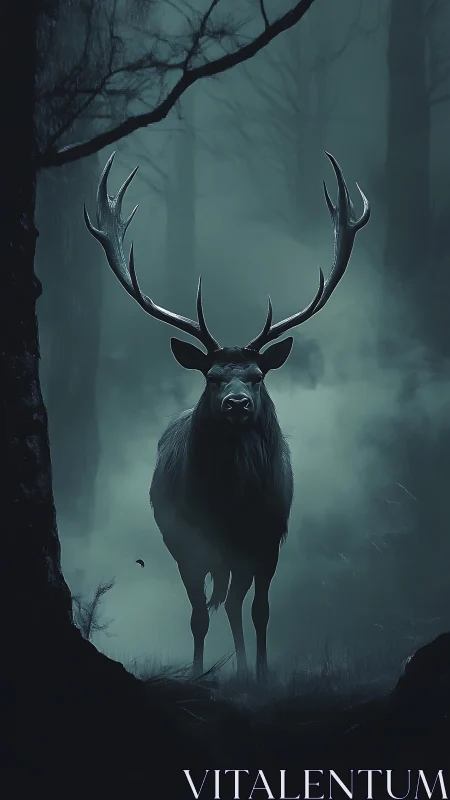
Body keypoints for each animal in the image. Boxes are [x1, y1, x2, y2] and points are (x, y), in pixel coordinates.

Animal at [84, 151, 370, 681]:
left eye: (256, 376)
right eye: (213, 377)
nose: (237, 403)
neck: (230, 503)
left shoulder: (268, 537)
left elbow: (259, 610)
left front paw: (260, 674)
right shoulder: (187, 539)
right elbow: (198, 615)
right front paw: (200, 674)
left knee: (236, 602)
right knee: (214, 603)